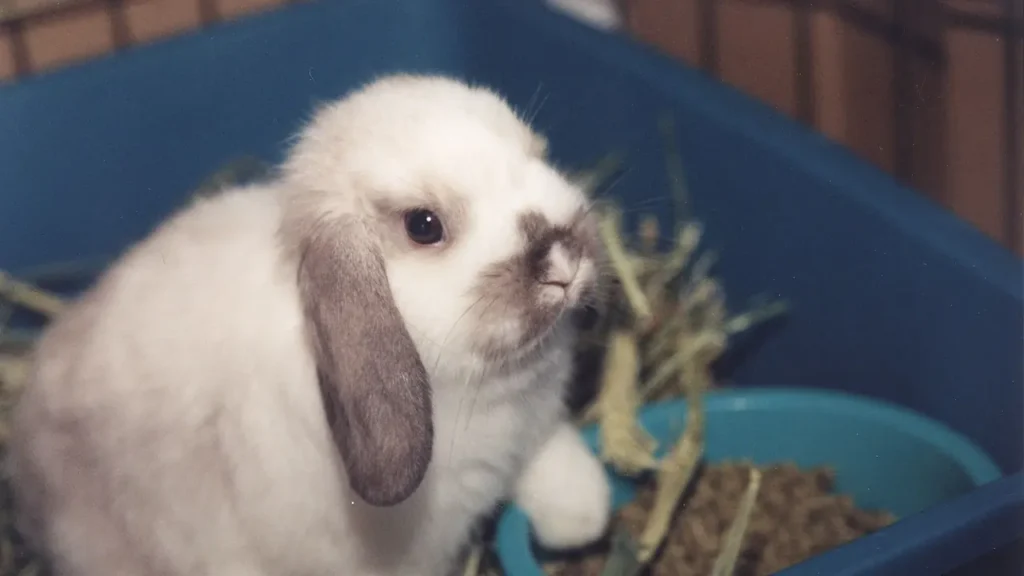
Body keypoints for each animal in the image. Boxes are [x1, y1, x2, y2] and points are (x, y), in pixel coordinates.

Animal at [8, 75, 610, 573]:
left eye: (537, 153)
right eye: (423, 225)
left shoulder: (532, 434)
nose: (563, 261)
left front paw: (582, 517)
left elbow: (556, 472)